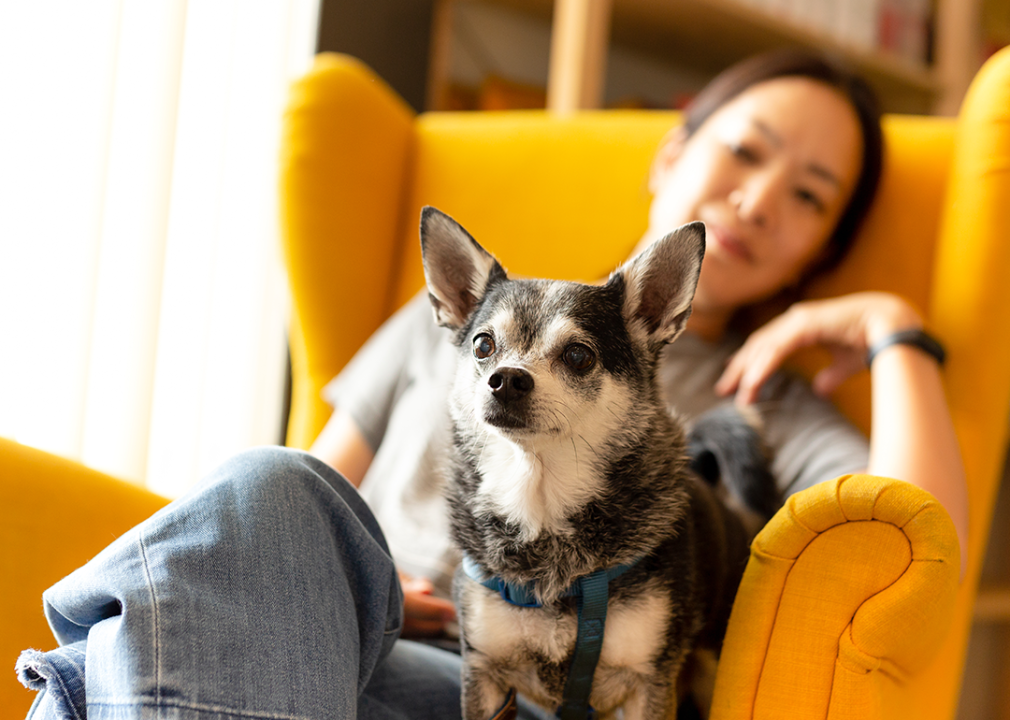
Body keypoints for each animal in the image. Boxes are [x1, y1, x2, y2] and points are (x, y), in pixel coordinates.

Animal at [422, 206, 775, 718]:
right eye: (483, 346)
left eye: (578, 355)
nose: (505, 379)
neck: (541, 509)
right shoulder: (484, 674)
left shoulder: (648, 684)